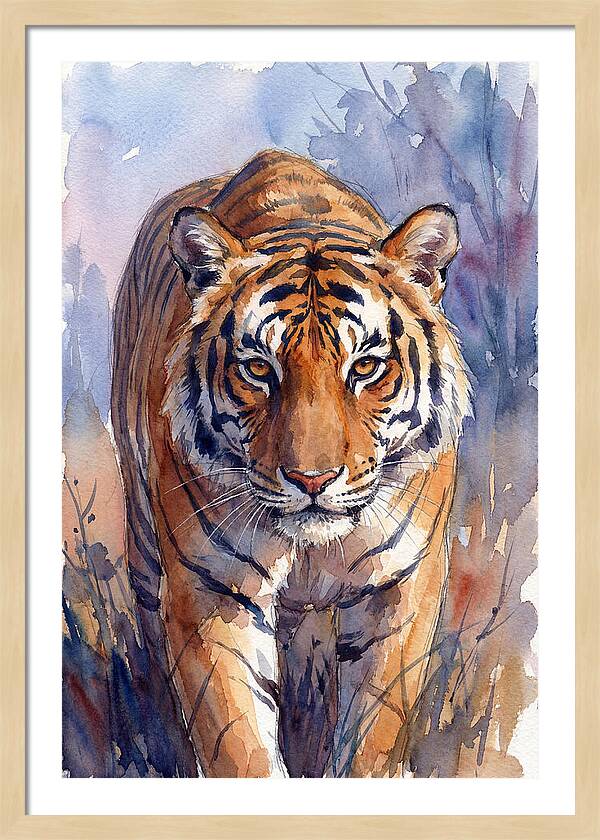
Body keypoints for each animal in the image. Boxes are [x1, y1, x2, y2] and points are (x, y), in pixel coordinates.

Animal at [111, 149, 471, 778]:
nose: (312, 480)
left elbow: (374, 730)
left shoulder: (402, 587)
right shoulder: (212, 590)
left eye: (365, 367)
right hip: (143, 540)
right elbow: (238, 744)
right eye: (259, 369)